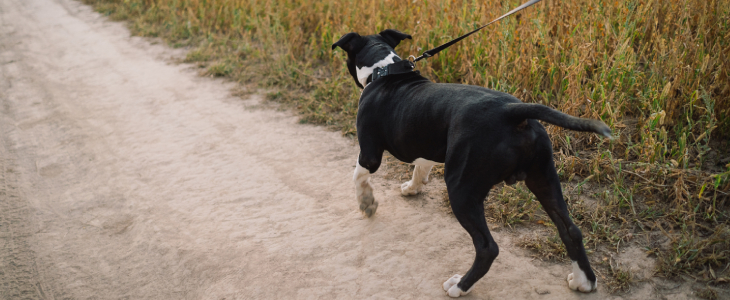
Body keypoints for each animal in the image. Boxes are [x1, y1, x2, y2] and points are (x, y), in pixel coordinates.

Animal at [332, 29, 604, 296]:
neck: (384, 69)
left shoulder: (369, 153)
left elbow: (358, 176)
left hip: (462, 188)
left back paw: (460, 286)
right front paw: (412, 188)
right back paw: (584, 282)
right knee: (570, 230)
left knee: (487, 247)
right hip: (543, 177)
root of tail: (513, 111)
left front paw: (366, 203)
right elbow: (421, 166)